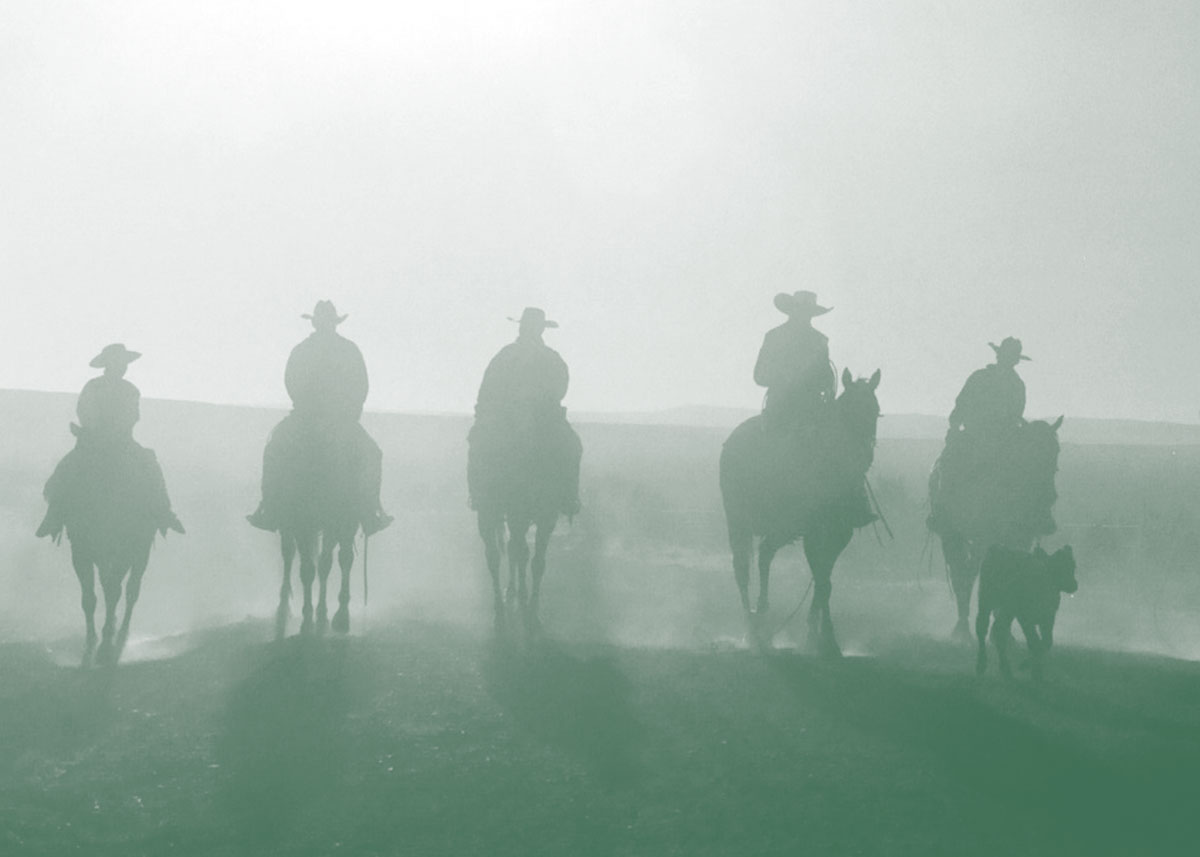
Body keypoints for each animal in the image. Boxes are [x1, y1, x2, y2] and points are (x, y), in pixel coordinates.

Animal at [720, 367, 883, 652]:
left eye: (874, 410)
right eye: (848, 411)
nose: (863, 453)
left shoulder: (839, 536)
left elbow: (824, 582)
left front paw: (816, 635)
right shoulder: (813, 535)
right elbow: (822, 580)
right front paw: (825, 638)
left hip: (779, 529)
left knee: (764, 555)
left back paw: (762, 619)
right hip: (739, 522)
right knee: (742, 569)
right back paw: (752, 630)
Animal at [926, 410, 1060, 638]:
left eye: (1056, 451)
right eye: (1031, 450)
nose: (1050, 495)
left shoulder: (1019, 539)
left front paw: (1003, 629)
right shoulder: (982, 539)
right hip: (952, 535)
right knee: (961, 574)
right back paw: (962, 626)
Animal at [974, 544, 1080, 676]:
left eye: (1072, 566)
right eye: (1061, 567)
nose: (1074, 585)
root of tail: (998, 550)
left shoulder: (1048, 618)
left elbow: (1046, 642)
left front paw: (1034, 667)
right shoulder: (1026, 618)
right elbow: (1035, 641)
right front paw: (1029, 666)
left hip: (1004, 608)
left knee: (998, 630)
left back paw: (1005, 668)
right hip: (988, 601)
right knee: (983, 628)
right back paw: (982, 664)